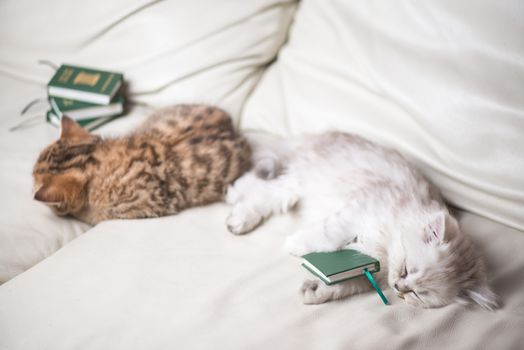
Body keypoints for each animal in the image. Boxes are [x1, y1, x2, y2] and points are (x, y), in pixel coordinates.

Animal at [227, 131, 498, 308]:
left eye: (418, 294)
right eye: (406, 270)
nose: (399, 289)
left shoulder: (369, 276)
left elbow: (341, 286)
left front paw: (314, 290)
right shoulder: (357, 212)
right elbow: (326, 236)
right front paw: (294, 245)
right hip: (297, 182)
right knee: (259, 190)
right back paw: (236, 211)